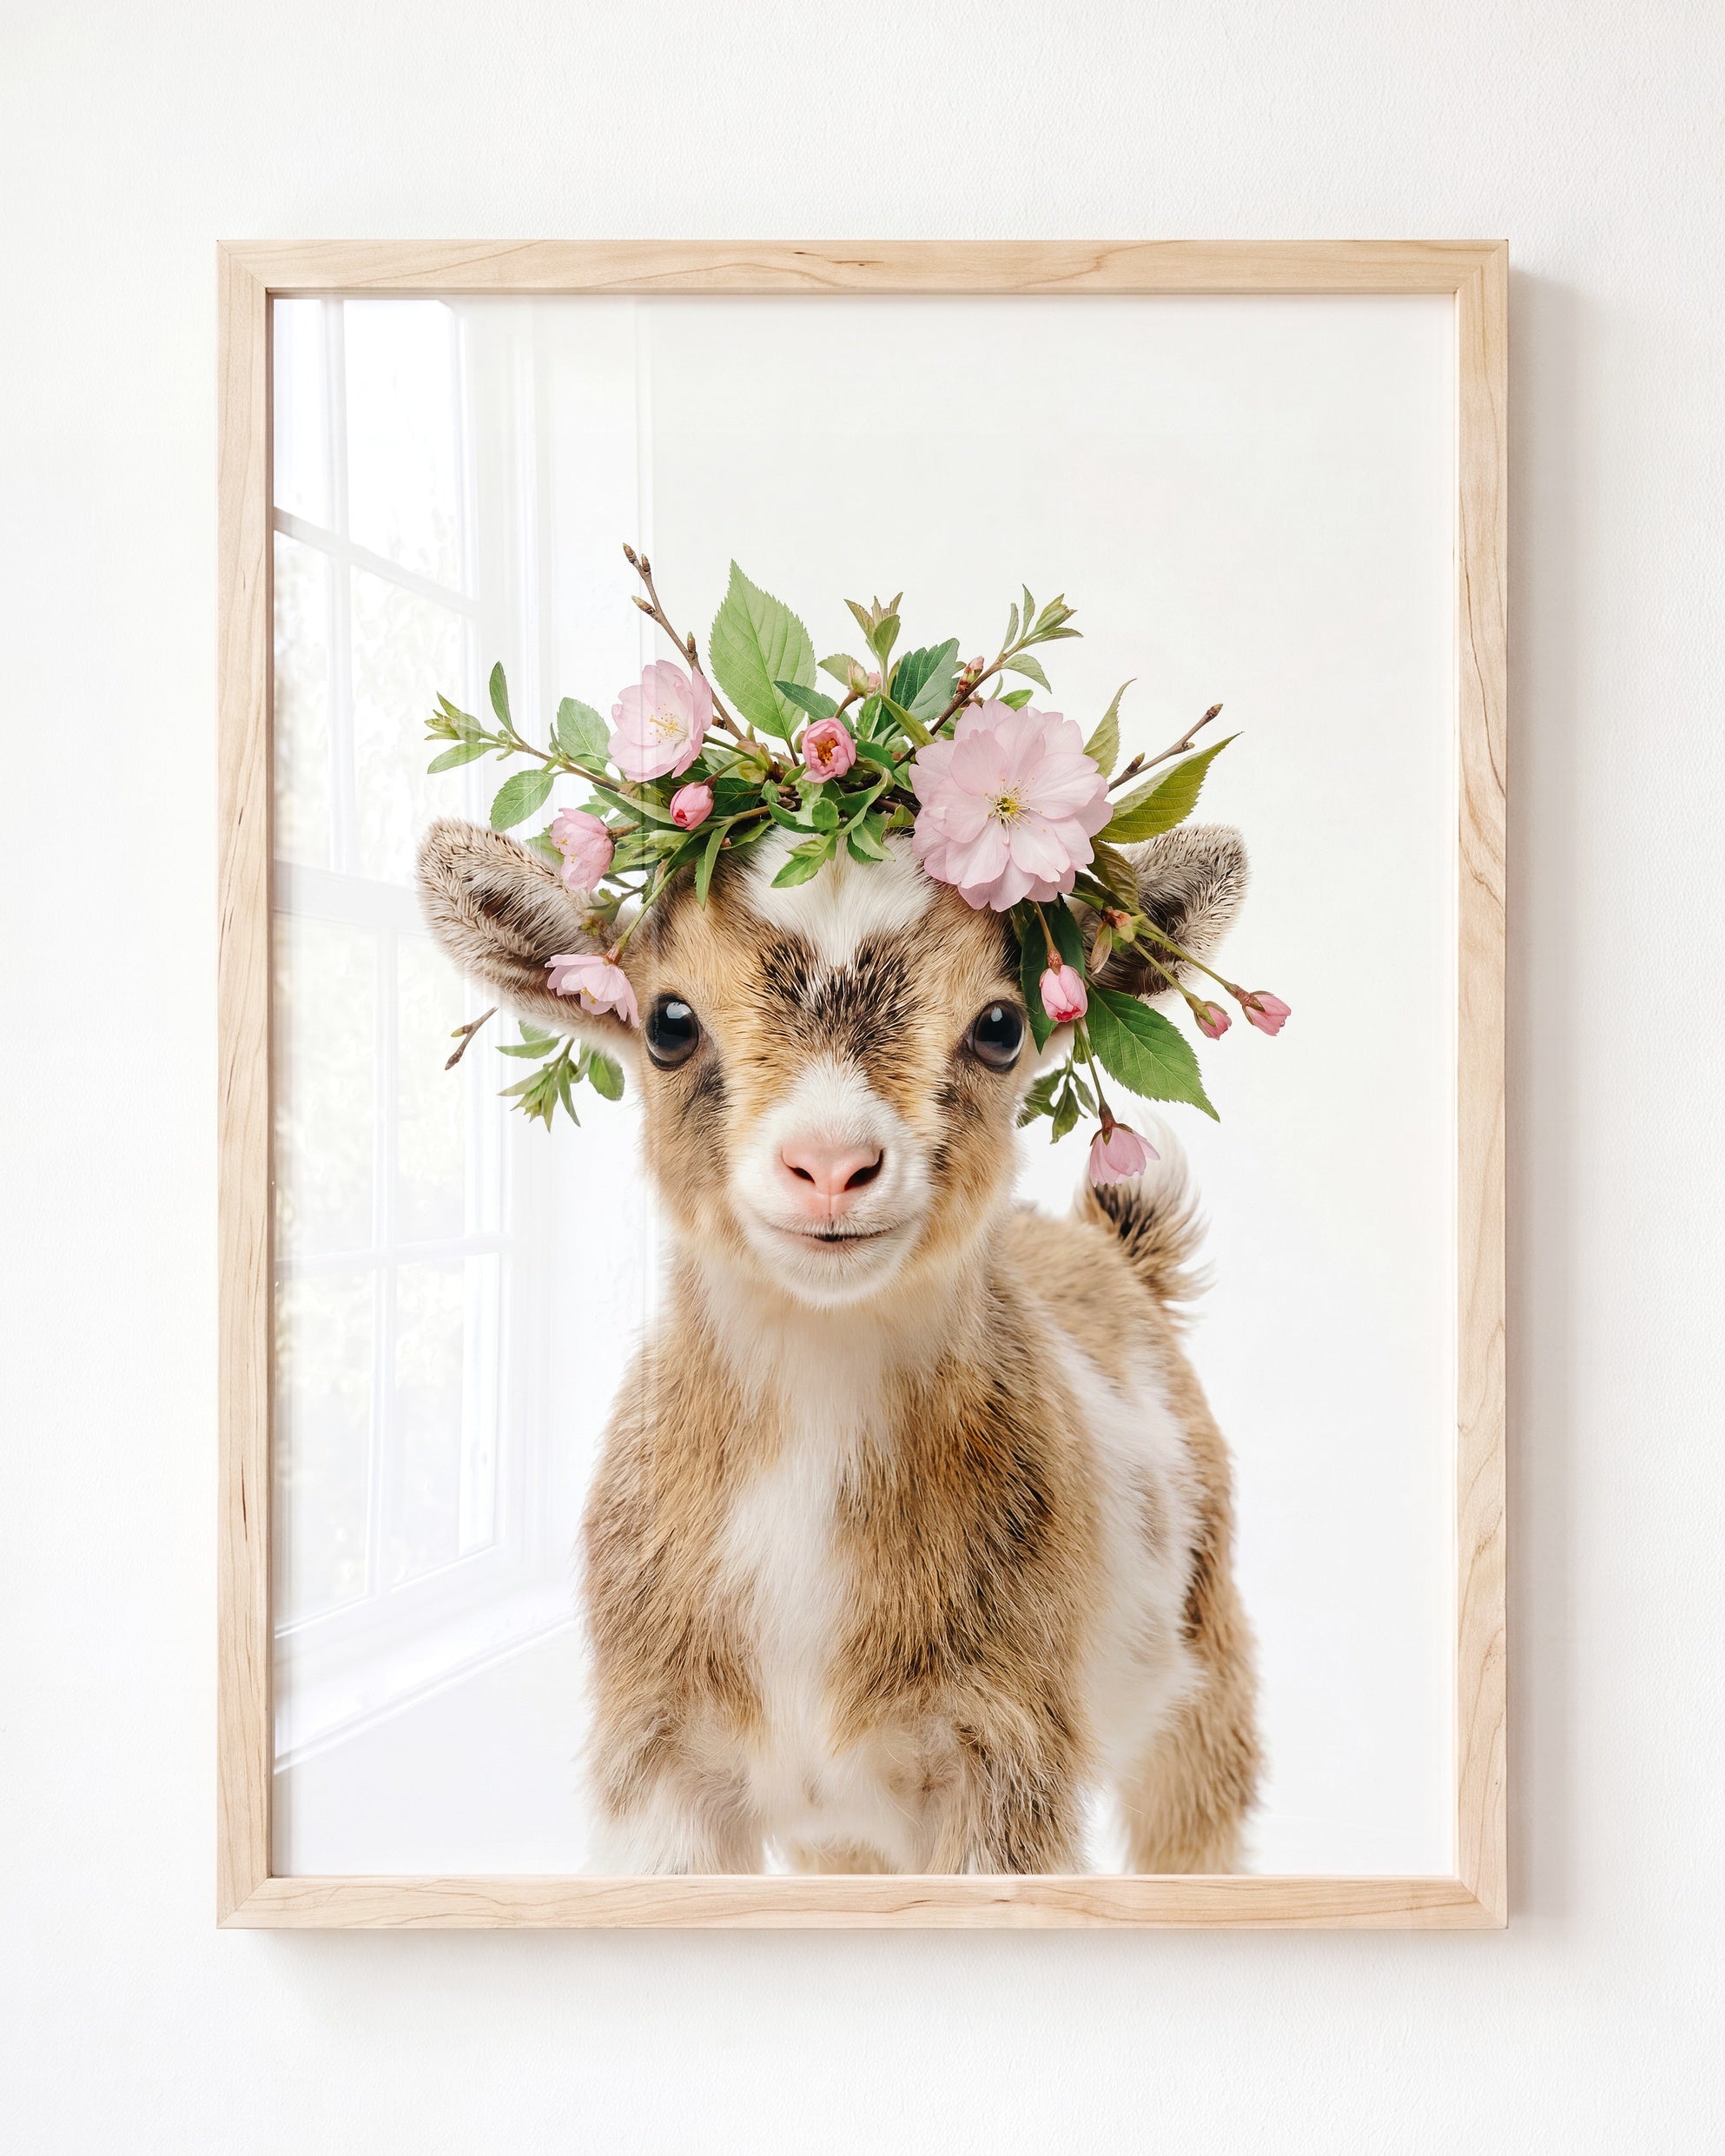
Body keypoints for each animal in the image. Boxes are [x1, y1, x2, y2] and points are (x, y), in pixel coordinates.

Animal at [417, 815, 1260, 1873]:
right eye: (668, 1024)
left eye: (1000, 1026)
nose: (829, 1165)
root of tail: (1113, 1251)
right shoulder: (659, 1762)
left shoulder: (1007, 1756)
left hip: (1207, 1671)